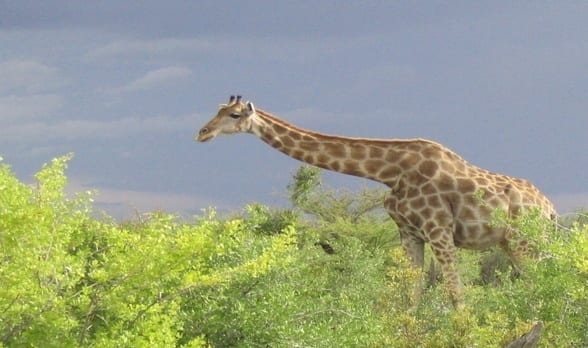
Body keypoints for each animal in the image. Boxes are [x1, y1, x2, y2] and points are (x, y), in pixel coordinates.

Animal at [196, 95, 556, 308]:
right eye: (217, 110)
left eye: (235, 114)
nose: (202, 132)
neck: (389, 172)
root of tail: (550, 209)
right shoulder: (410, 232)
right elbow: (411, 294)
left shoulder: (438, 229)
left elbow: (456, 293)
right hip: (515, 243)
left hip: (525, 241)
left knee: (544, 283)